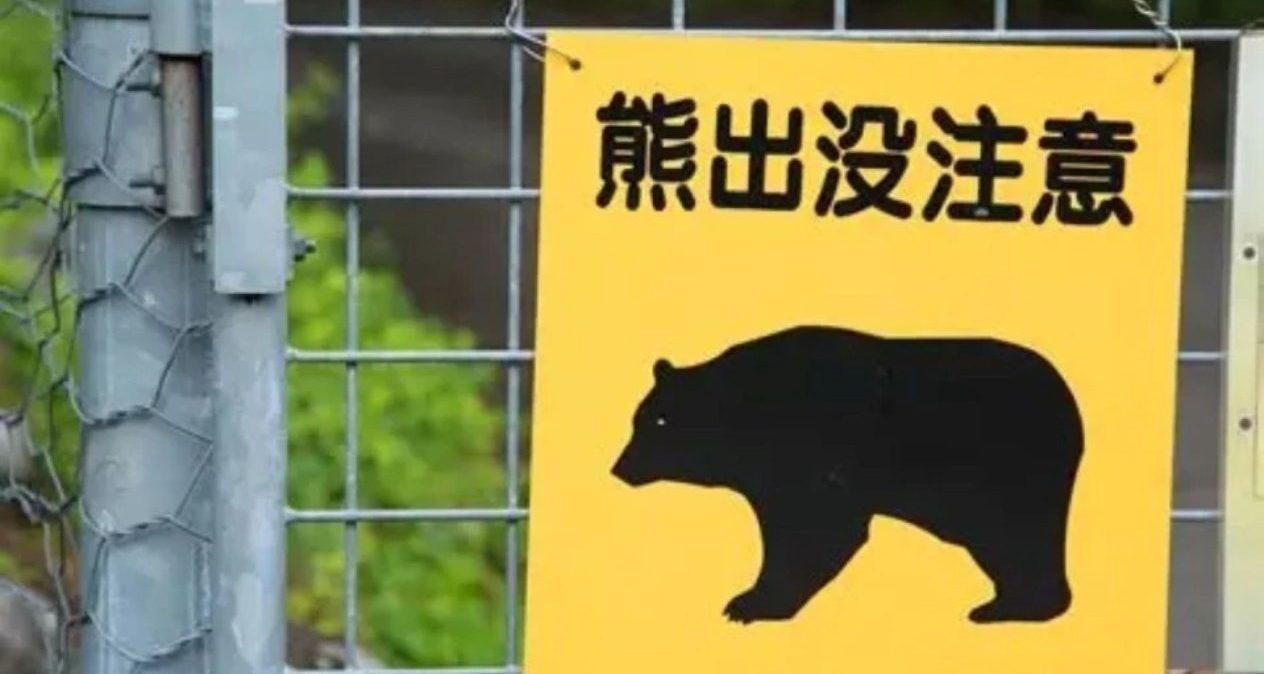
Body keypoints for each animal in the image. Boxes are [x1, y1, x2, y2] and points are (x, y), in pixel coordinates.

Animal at [610, 324, 1085, 626]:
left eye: (659, 421)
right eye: (638, 418)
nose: (619, 468)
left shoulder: (808, 457)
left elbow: (818, 530)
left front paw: (750, 604)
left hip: (1010, 469)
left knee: (1021, 537)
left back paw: (1017, 608)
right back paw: (1006, 604)